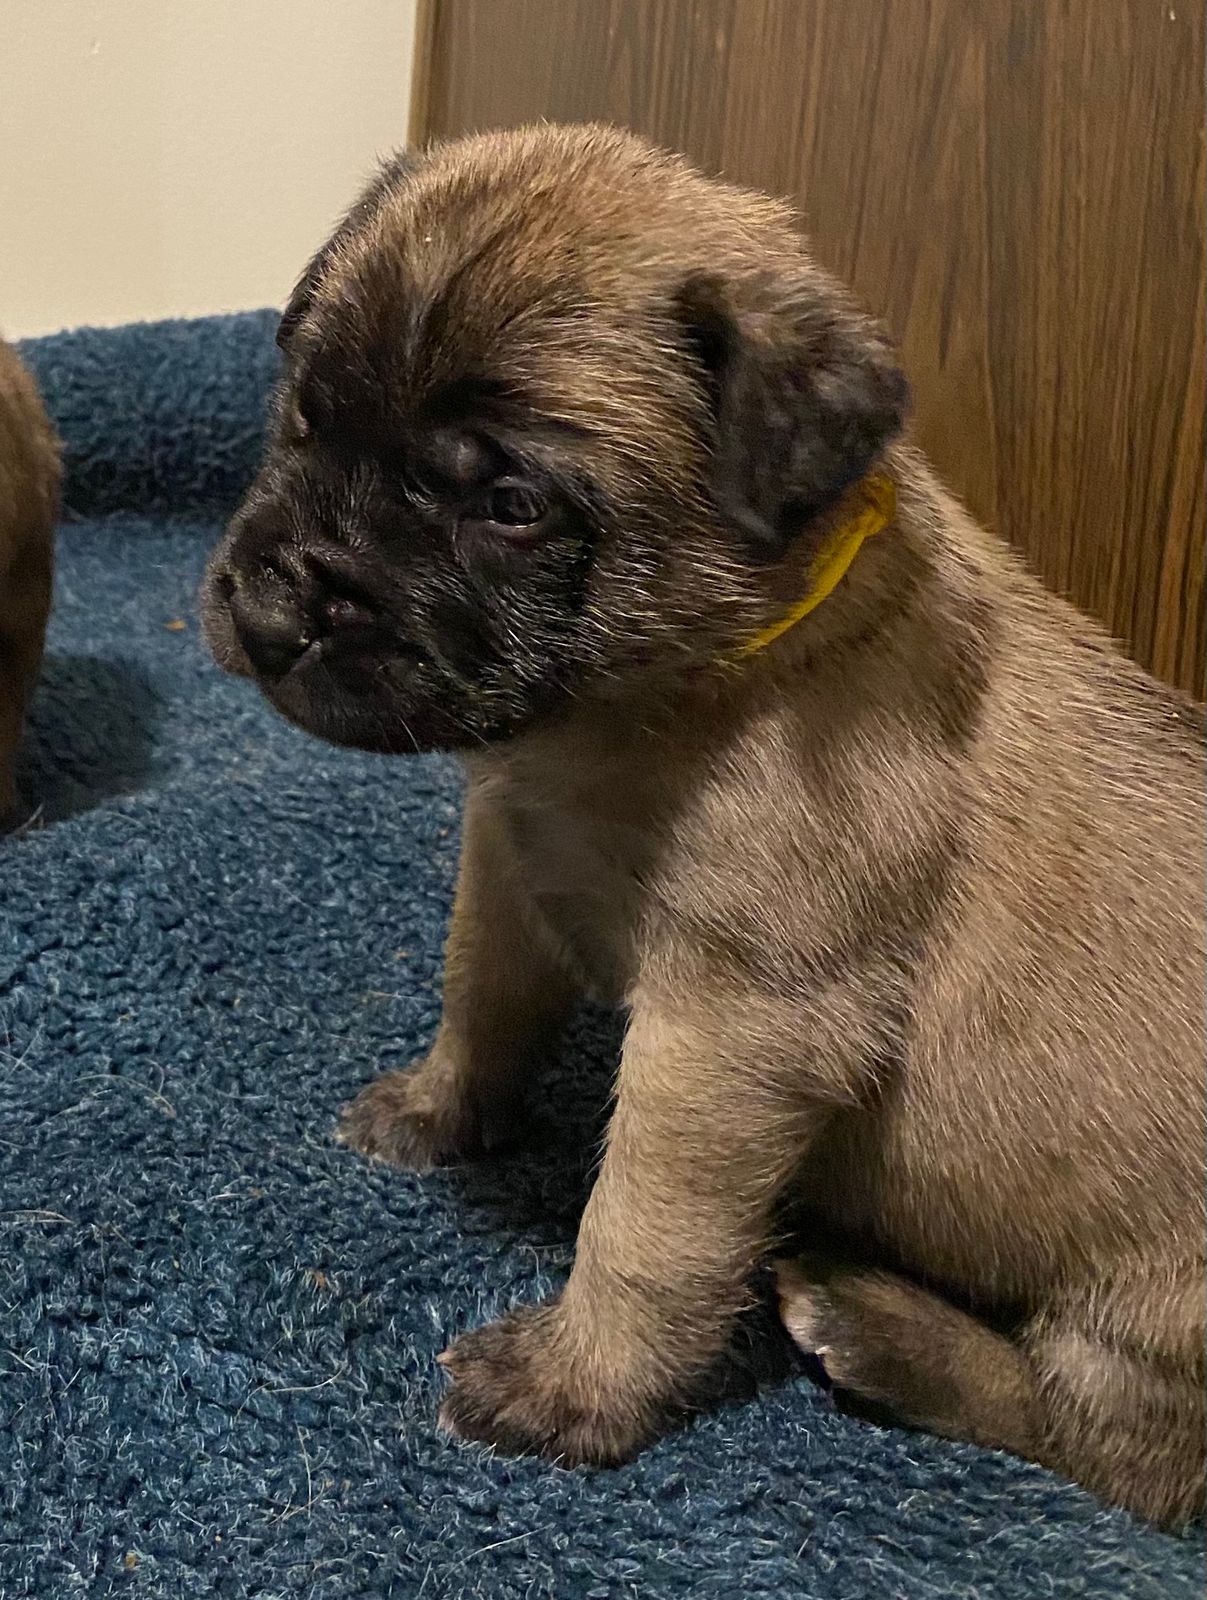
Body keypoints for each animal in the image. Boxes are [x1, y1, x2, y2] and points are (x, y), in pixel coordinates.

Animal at [201, 125, 1205, 1525]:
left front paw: (576, 1383)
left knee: (1115, 1450)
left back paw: (887, 1331)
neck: (659, 696)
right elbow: (482, 998)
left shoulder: (730, 1030)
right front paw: (441, 1108)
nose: (277, 607)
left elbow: (644, 1223)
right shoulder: (505, 861)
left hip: (1150, 1320)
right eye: (305, 416)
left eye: (508, 506)